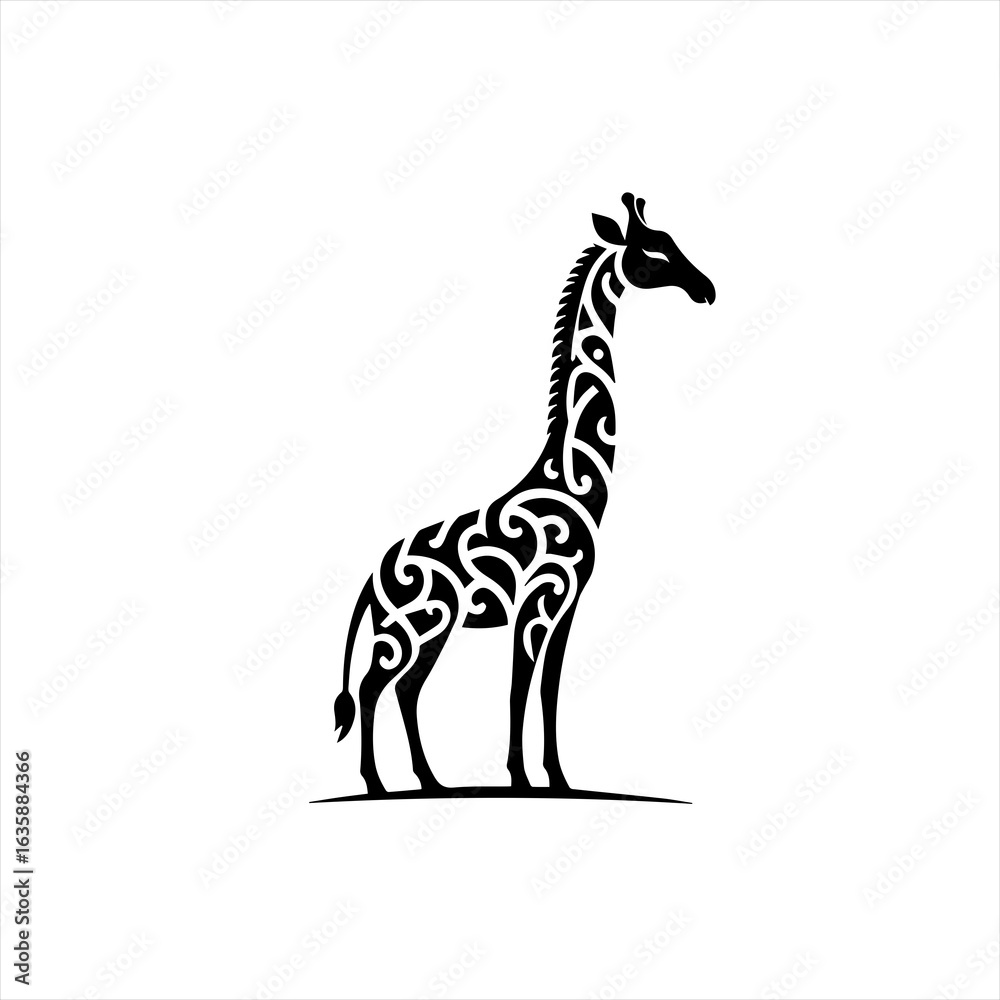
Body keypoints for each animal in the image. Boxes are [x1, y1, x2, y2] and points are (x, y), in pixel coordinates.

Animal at [335, 193, 715, 796]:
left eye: (675, 242)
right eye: (655, 252)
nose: (707, 288)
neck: (571, 480)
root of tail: (375, 576)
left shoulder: (567, 606)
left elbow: (548, 692)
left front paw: (556, 777)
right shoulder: (537, 601)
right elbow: (519, 689)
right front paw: (519, 778)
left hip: (434, 628)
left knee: (406, 689)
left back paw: (430, 780)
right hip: (412, 624)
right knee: (375, 686)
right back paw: (376, 783)